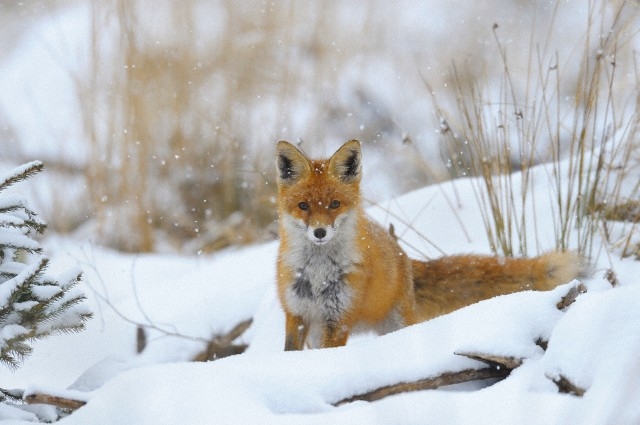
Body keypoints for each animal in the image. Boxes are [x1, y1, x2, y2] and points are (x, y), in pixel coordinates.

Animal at [276, 141, 580, 350]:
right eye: (303, 206)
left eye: (334, 204)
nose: (319, 232)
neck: (317, 274)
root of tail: (404, 257)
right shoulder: (297, 315)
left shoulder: (338, 319)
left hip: (397, 324)